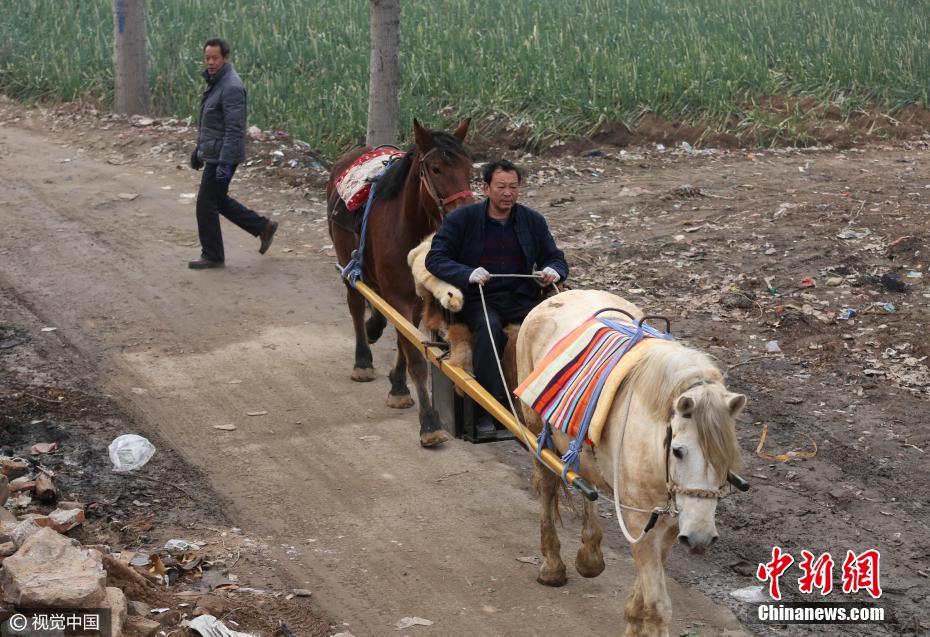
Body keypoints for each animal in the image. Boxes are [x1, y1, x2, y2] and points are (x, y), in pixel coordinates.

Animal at [326, 119, 474, 448]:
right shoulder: (398, 296)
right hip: (345, 254)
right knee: (356, 304)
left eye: (469, 167)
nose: (464, 211)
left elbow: (407, 342)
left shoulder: (414, 297)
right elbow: (415, 357)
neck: (410, 225)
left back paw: (375, 330)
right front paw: (429, 423)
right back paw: (362, 360)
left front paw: (398, 385)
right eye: (436, 169)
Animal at [516, 290, 748, 636]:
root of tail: (561, 295)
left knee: (585, 482)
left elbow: (649, 590)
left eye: (726, 461)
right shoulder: (639, 519)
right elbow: (658, 605)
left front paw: (633, 620)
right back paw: (552, 567)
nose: (700, 539)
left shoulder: (670, 521)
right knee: (546, 487)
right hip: (534, 432)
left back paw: (590, 556)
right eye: (678, 451)